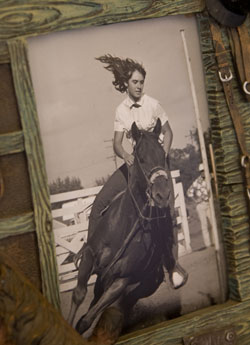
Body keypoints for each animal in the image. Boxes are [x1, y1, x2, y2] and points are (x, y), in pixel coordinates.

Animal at [68, 117, 174, 334]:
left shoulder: (121, 281)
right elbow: (79, 293)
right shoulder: (90, 255)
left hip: (135, 289)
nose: (162, 194)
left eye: (162, 154)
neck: (125, 226)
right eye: (141, 158)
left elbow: (85, 321)